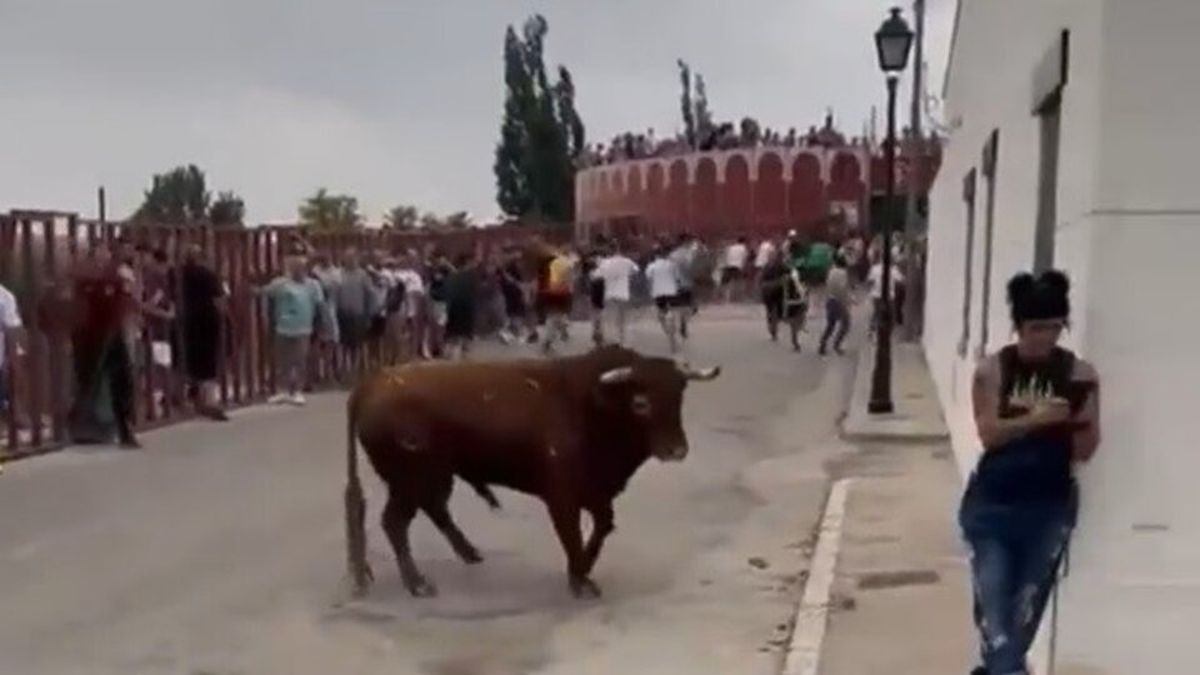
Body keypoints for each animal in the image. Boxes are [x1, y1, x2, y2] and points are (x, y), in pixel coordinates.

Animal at [343, 343, 715, 595]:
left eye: (679, 395)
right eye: (641, 402)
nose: (677, 450)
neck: (589, 404)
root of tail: (373, 383)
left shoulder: (596, 492)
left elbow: (603, 526)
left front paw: (581, 569)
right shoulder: (561, 496)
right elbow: (571, 534)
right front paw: (580, 579)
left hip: (435, 476)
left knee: (434, 510)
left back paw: (469, 553)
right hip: (410, 479)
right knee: (395, 522)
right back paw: (417, 582)